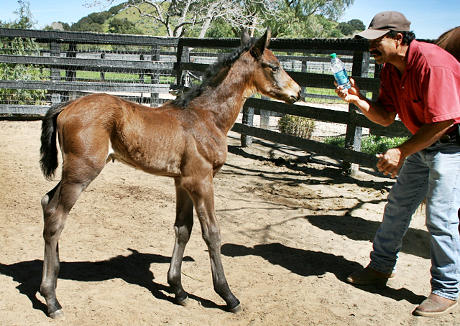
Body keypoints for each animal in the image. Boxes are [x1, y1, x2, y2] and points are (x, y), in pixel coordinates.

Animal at [38, 28, 302, 318]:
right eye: (274, 66)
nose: (298, 92)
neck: (206, 118)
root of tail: (65, 107)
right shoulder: (201, 181)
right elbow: (212, 233)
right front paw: (228, 296)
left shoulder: (182, 182)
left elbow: (183, 229)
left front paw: (178, 290)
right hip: (81, 172)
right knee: (56, 216)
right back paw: (52, 300)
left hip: (72, 172)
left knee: (47, 202)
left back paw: (55, 275)